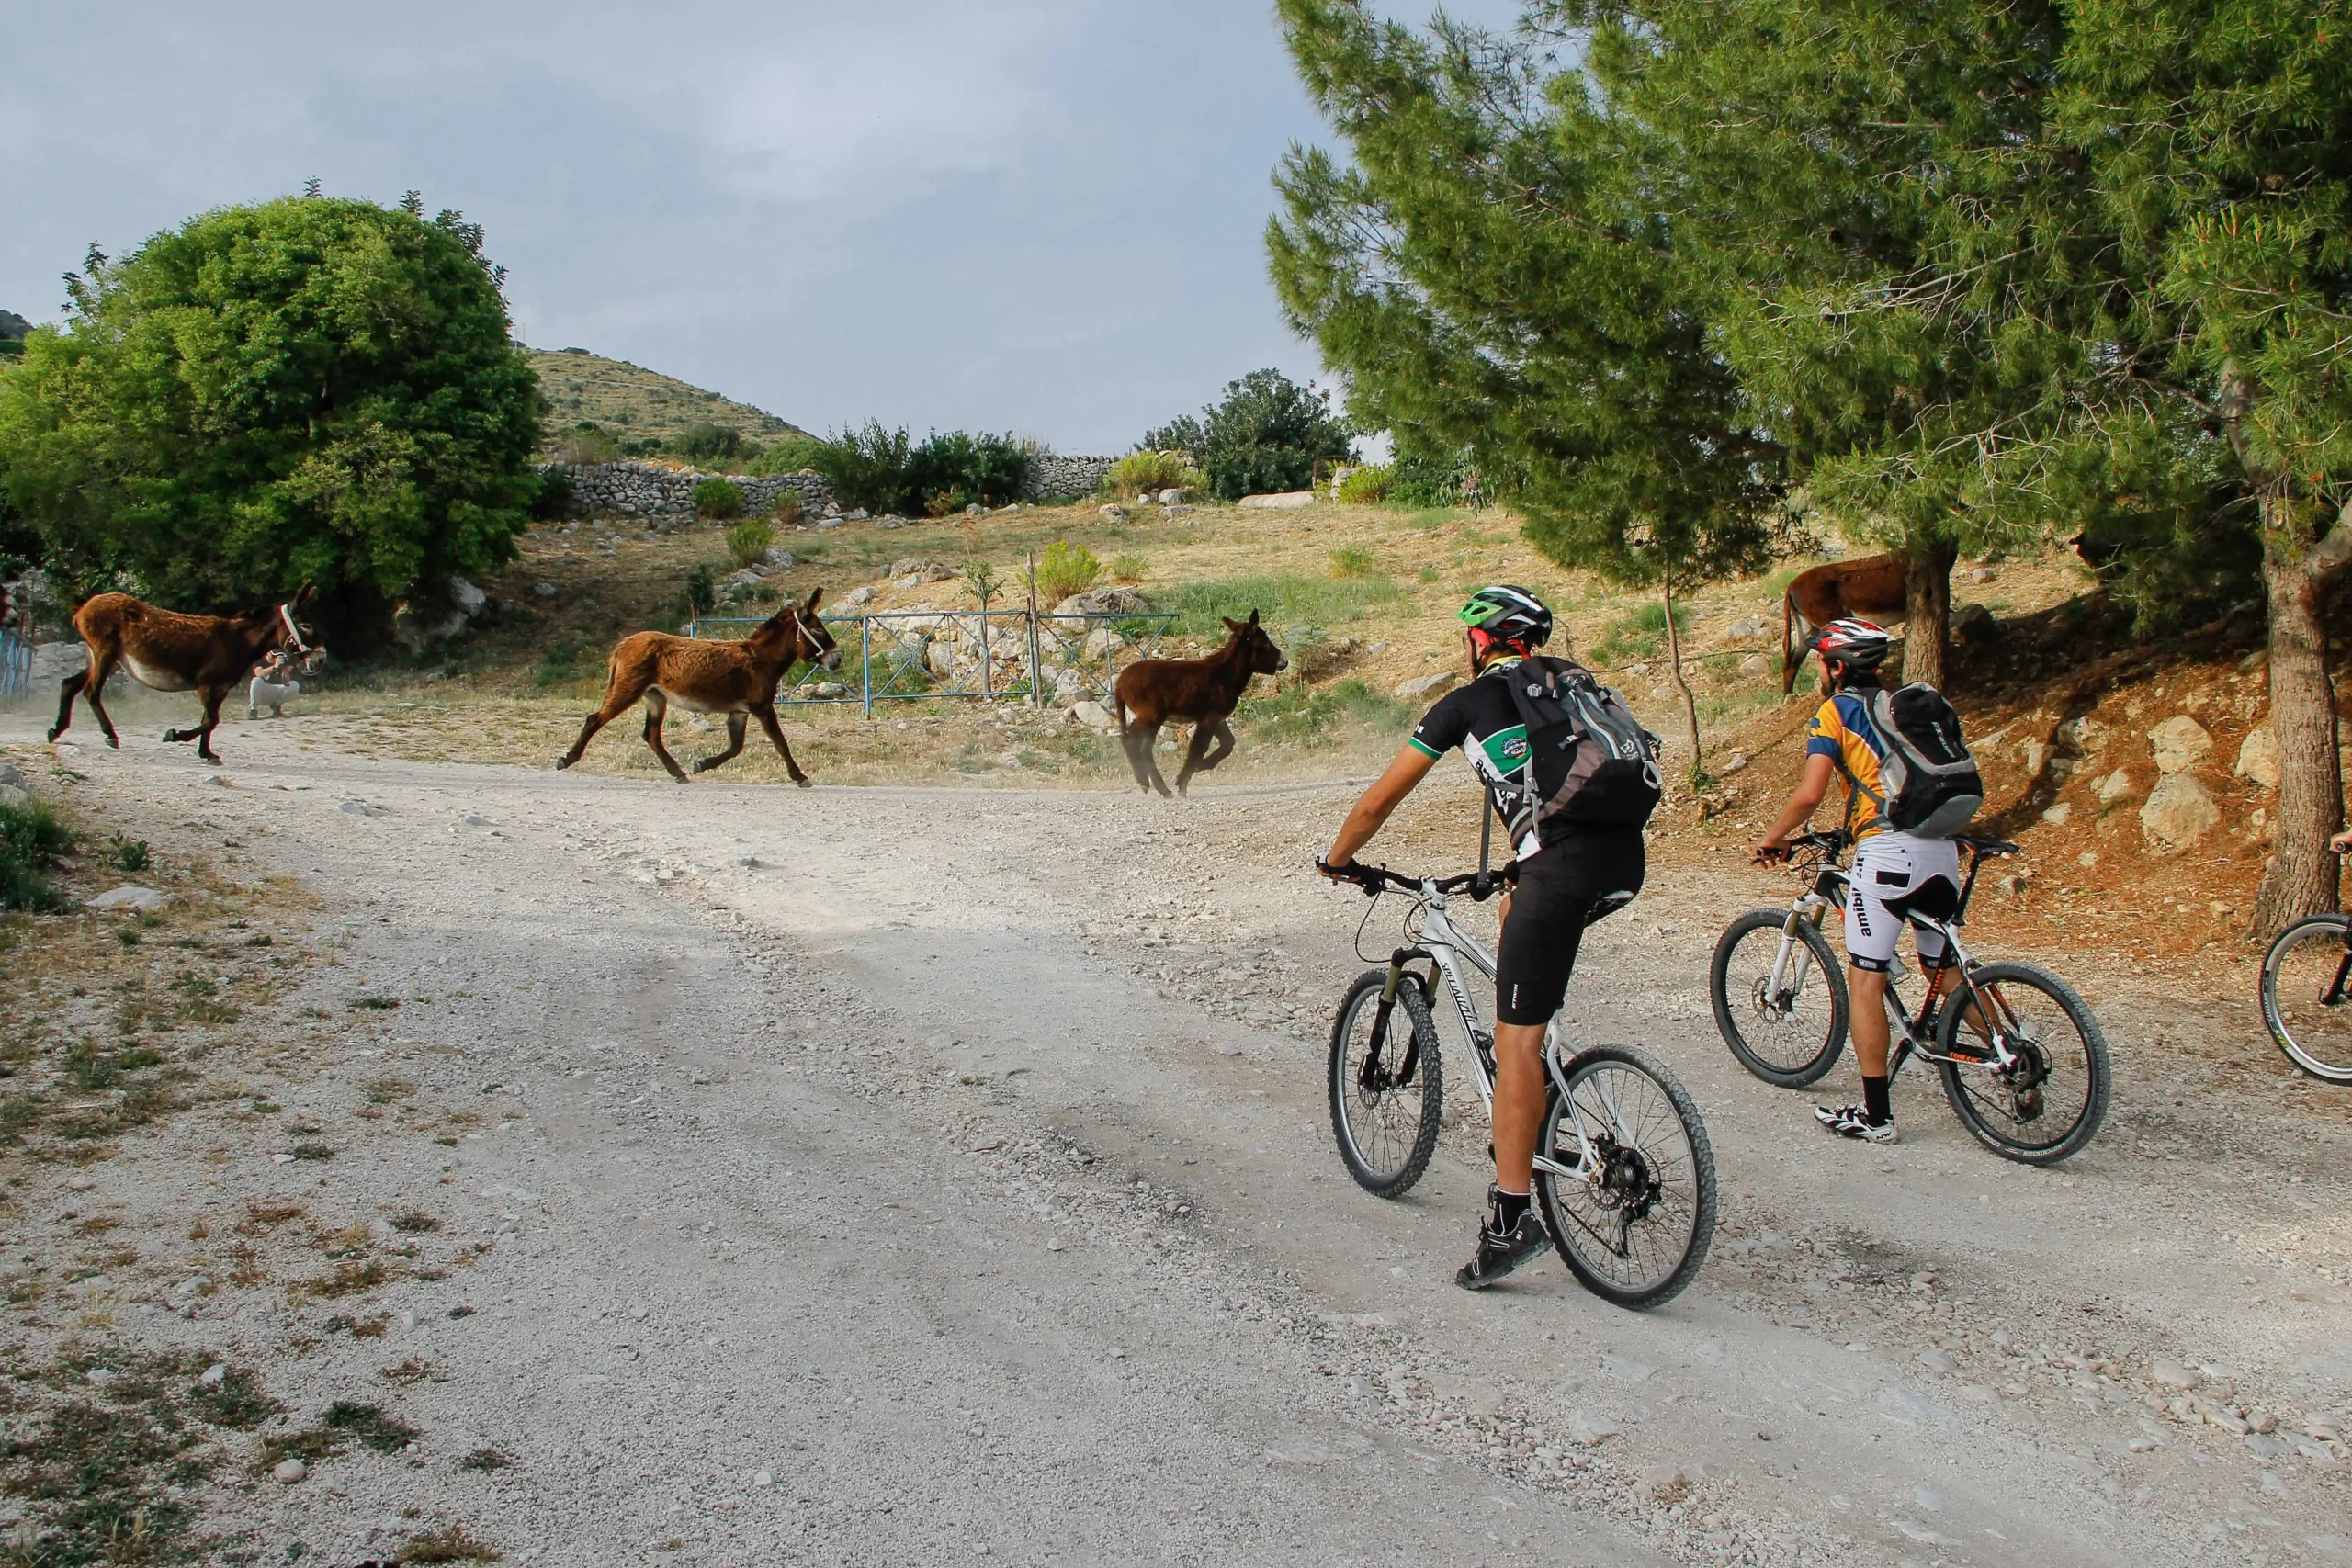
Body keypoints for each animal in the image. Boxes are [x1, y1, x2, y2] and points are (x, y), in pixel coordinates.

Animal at [50, 585, 322, 761]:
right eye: (305, 625)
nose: (320, 660)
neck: (237, 641)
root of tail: (86, 605)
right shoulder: (207, 686)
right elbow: (211, 720)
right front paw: (175, 736)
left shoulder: (219, 688)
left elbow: (209, 720)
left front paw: (206, 753)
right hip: (105, 653)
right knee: (91, 691)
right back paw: (109, 735)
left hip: (109, 659)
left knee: (69, 684)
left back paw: (56, 730)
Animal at [555, 587, 842, 784]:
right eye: (817, 629)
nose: (837, 659)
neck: (762, 658)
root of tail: (624, 644)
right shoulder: (762, 707)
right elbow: (780, 742)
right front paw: (800, 776)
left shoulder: (739, 711)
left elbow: (735, 748)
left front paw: (702, 764)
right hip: (628, 689)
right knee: (595, 719)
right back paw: (567, 759)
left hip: (655, 697)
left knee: (651, 735)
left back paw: (678, 773)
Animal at [1114, 611, 1288, 799]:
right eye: (1264, 643)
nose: (1285, 661)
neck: (1226, 673)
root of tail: (1120, 682)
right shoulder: (1210, 717)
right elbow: (1198, 748)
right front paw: (1183, 783)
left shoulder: (1217, 717)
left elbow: (1228, 744)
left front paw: (1200, 767)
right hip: (1152, 714)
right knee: (1133, 741)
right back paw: (1154, 785)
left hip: (1149, 716)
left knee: (1135, 742)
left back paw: (1151, 785)